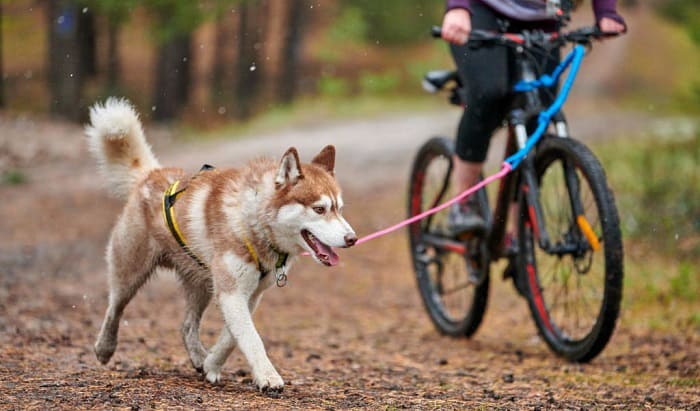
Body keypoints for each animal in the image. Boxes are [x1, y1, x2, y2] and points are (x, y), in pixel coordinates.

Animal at [87, 98, 358, 394]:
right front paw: (268, 376)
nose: (352, 238)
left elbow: (232, 337)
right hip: (130, 272)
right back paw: (104, 347)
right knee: (115, 307)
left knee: (186, 326)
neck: (253, 222)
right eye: (320, 209)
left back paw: (198, 357)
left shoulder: (250, 294)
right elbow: (251, 337)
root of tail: (151, 174)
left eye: (339, 208)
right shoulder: (231, 292)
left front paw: (212, 365)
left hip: (201, 284)